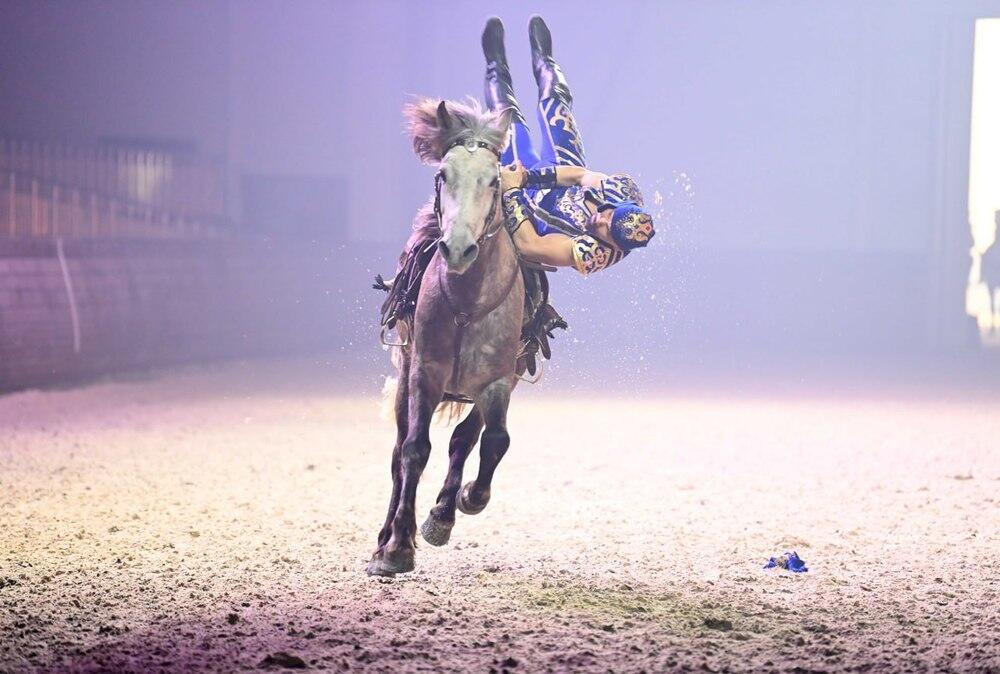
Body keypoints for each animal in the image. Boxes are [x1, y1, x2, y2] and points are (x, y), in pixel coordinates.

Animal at [367, 98, 526, 577]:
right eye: (443, 174)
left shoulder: (499, 381)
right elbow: (415, 450)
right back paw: (385, 539)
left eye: (494, 180)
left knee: (464, 440)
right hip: (405, 380)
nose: (457, 249)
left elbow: (492, 441)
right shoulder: (425, 374)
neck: (467, 304)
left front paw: (460, 504)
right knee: (399, 455)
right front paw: (397, 548)